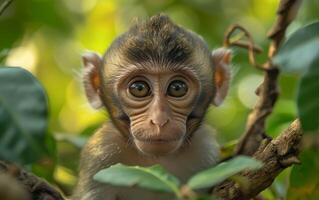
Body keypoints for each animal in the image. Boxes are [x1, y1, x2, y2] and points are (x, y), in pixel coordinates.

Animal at [73, 14, 232, 200]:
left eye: (177, 88)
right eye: (139, 88)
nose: (159, 120)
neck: (156, 160)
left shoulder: (206, 151)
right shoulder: (100, 154)